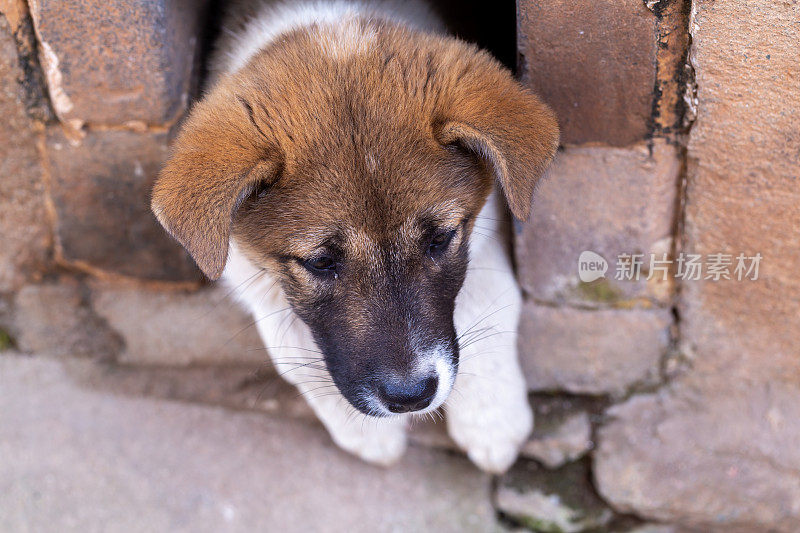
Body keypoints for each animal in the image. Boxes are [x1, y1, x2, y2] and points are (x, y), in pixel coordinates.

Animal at [153, 0, 560, 472]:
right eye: (321, 262)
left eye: (439, 239)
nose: (410, 397)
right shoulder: (251, 274)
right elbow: (293, 350)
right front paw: (367, 433)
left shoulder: (486, 228)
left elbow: (489, 302)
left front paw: (491, 421)